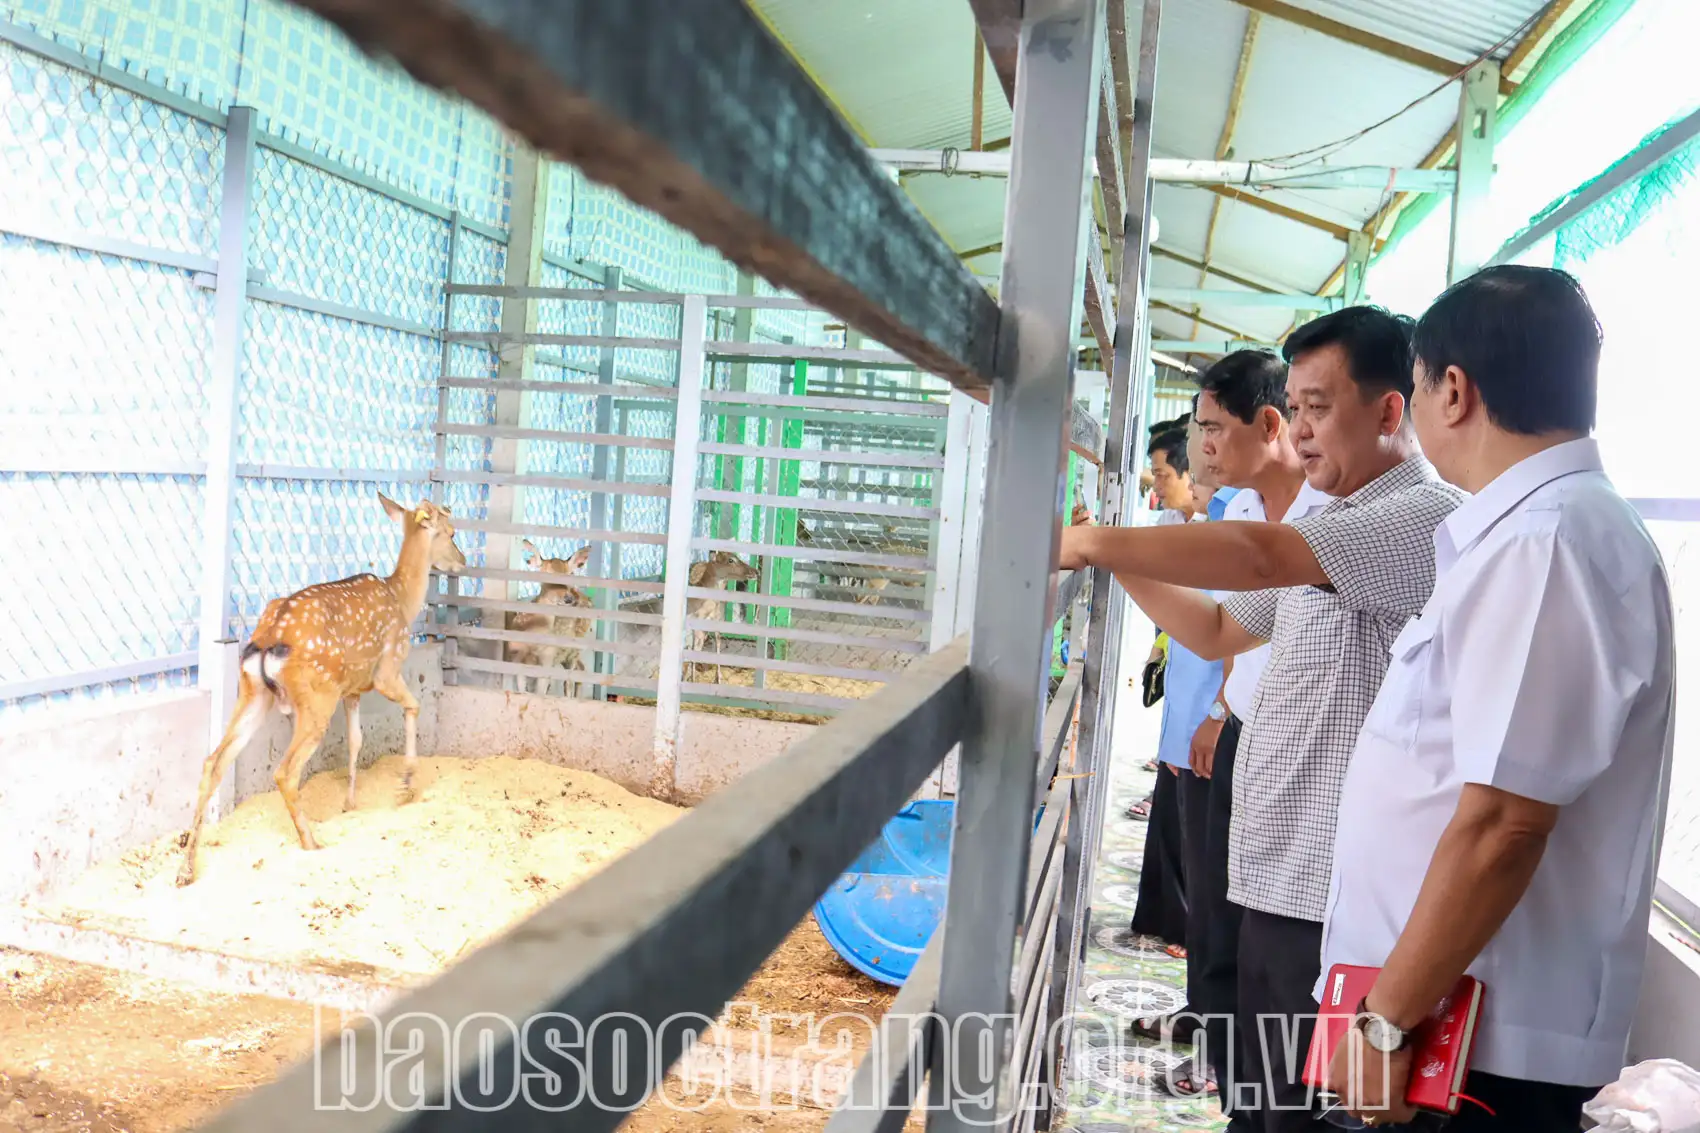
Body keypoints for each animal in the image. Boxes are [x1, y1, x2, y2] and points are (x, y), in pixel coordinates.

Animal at [176, 493, 469, 884]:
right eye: (451, 532)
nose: (463, 561)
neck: (402, 601)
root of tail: (268, 639)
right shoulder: (386, 669)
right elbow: (413, 707)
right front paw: (405, 786)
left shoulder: (352, 689)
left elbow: (356, 741)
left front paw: (350, 803)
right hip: (316, 697)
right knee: (285, 771)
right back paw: (311, 841)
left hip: (252, 693)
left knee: (213, 762)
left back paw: (185, 868)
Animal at [503, 534, 598, 694]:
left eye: (569, 575)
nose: (568, 599)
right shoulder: (517, 658)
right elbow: (523, 690)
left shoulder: (548, 659)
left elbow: (540, 692)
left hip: (574, 649)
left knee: (570, 680)